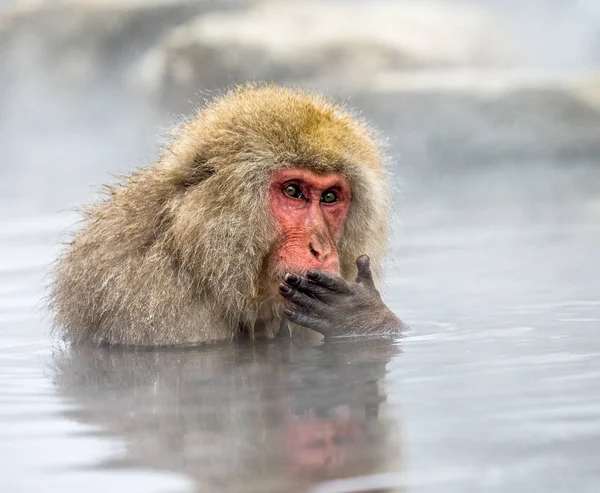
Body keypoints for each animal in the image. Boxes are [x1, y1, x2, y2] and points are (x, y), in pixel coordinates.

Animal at [51, 83, 404, 346]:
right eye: (294, 191)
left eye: (330, 197)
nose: (320, 249)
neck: (196, 260)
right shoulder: (156, 307)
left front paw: (362, 314)